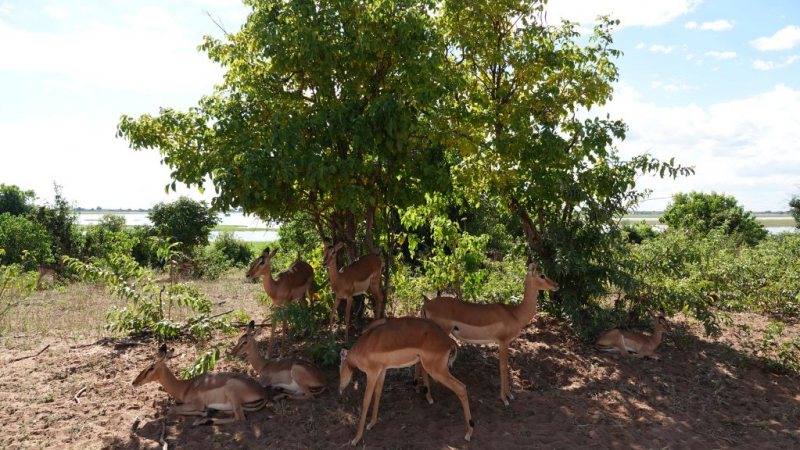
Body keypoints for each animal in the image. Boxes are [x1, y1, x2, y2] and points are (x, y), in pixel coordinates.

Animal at [132, 344, 268, 426]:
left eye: (151, 368)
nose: (134, 382)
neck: (184, 387)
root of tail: (262, 394)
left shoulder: (197, 404)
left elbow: (171, 409)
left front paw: (204, 414)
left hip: (231, 390)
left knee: (239, 418)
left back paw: (205, 420)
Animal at [340, 316, 476, 446]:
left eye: (340, 368)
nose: (340, 389)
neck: (363, 346)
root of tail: (450, 341)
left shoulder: (371, 373)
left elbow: (366, 401)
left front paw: (355, 439)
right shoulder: (382, 371)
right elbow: (378, 393)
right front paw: (371, 424)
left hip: (437, 371)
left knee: (461, 388)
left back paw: (469, 433)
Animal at [422, 260, 560, 404]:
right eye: (542, 275)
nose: (556, 285)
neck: (515, 314)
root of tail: (425, 305)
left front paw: (509, 395)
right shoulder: (503, 342)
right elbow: (503, 367)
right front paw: (505, 399)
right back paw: (429, 398)